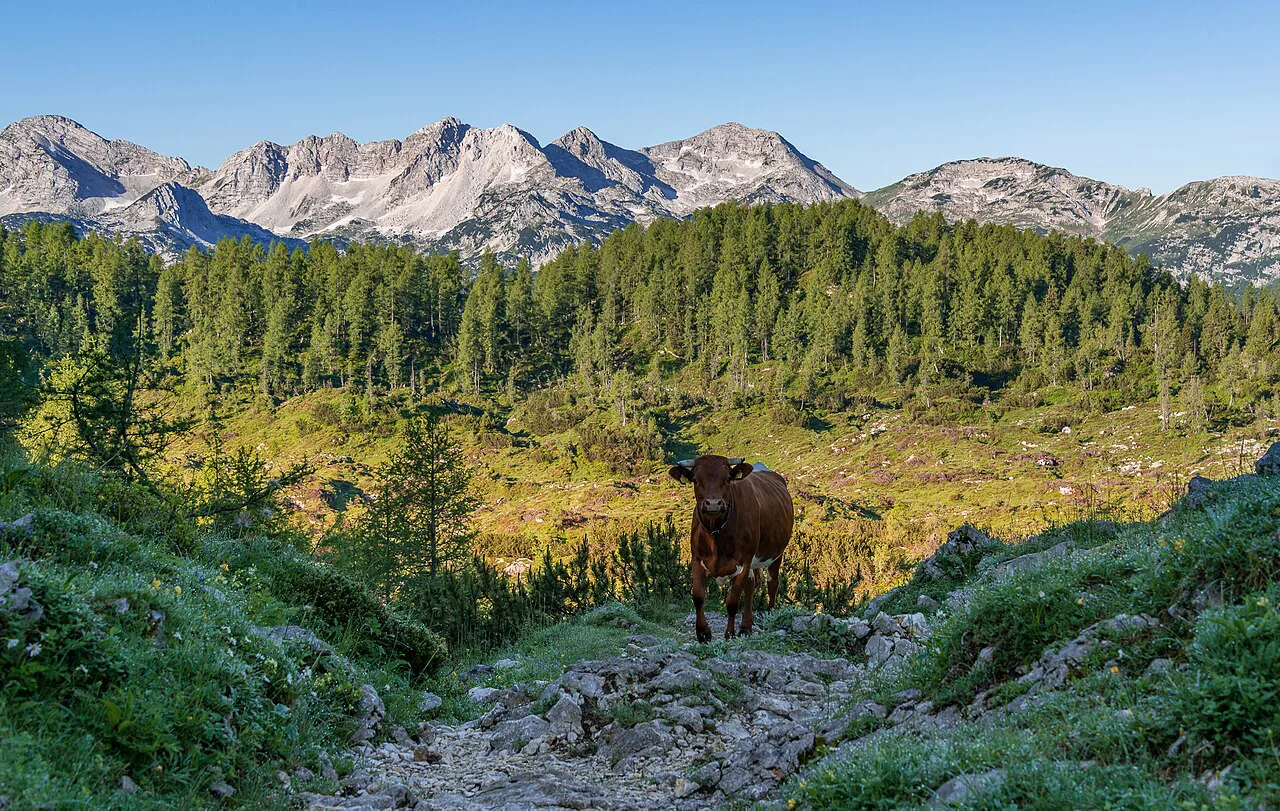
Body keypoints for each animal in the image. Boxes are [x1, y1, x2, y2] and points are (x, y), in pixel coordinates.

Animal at [668, 455, 794, 642]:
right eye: (696, 479)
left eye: (727, 478)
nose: (713, 503)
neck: (716, 535)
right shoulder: (696, 559)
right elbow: (698, 597)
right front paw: (703, 633)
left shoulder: (743, 562)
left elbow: (732, 601)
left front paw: (729, 634)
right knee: (751, 585)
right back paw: (746, 626)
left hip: (776, 553)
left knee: (772, 583)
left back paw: (771, 614)